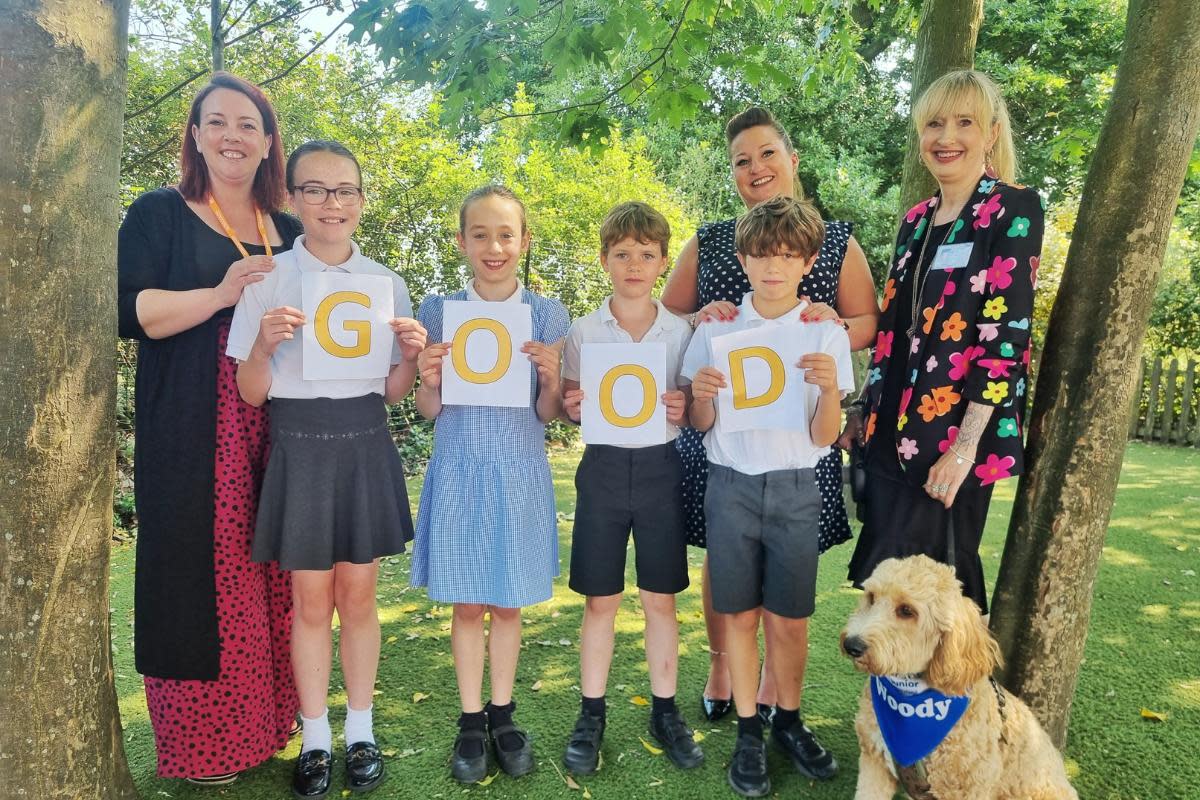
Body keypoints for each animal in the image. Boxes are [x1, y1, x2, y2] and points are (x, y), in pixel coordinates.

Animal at [844, 556, 1080, 800]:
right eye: (871, 597)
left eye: (906, 611)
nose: (852, 645)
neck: (910, 695)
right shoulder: (874, 762)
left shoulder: (969, 786)